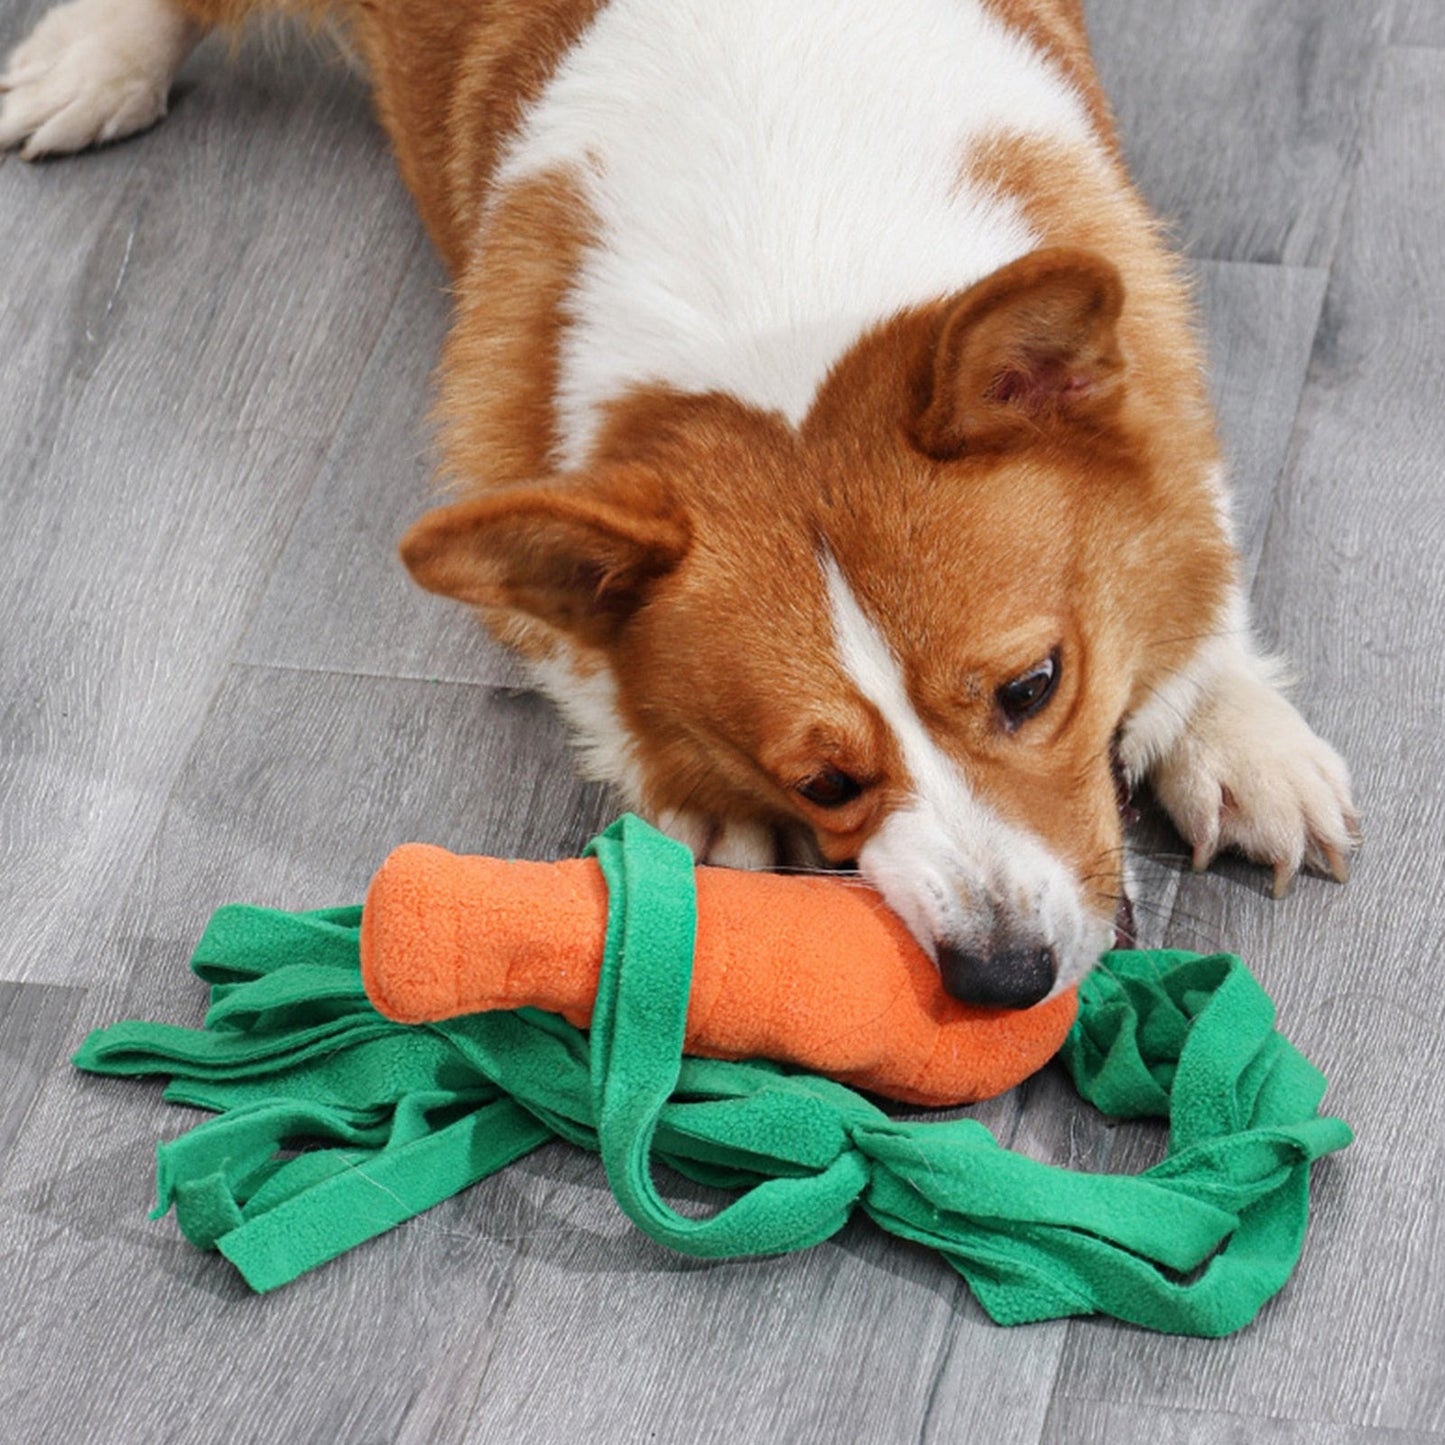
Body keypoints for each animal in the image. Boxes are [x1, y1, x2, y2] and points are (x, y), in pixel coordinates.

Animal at [0, 0, 1358, 1011]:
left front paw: (1231, 731)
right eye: (821, 783)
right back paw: (90, 60)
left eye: (1032, 689)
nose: (1003, 978)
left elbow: (1185, 556)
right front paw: (707, 820)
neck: (786, 281)